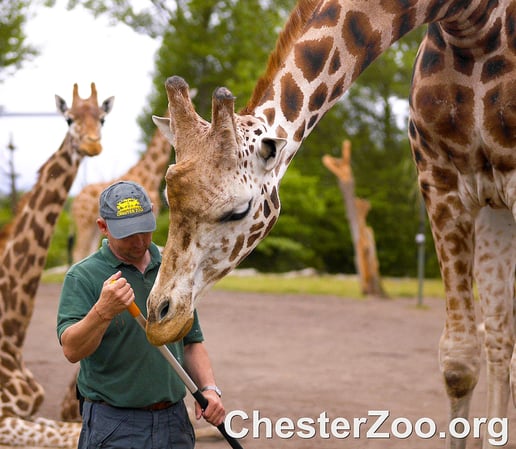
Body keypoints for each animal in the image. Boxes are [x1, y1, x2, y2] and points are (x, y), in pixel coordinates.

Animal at [0, 83, 114, 444]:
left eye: (102, 118)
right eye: (68, 119)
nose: (92, 143)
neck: (9, 334)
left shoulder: (29, 412)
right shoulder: (4, 416)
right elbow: (70, 435)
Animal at [147, 1, 512, 446]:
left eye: (237, 210)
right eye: (169, 198)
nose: (160, 319)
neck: (468, 22)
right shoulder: (439, 178)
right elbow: (459, 361)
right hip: (493, 209)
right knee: (500, 338)